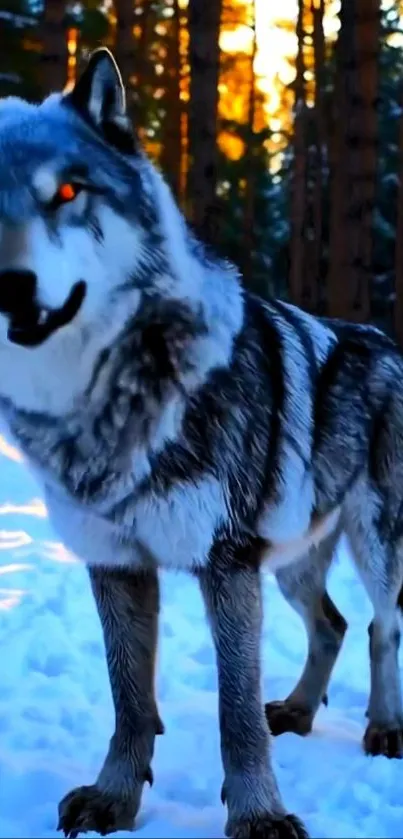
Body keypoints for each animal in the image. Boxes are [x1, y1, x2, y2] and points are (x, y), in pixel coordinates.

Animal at [0, 46, 403, 839]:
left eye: (68, 192)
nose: (9, 286)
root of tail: (385, 340)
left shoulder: (227, 564)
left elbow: (234, 712)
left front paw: (259, 817)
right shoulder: (116, 562)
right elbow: (130, 701)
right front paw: (113, 799)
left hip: (370, 543)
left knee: (382, 624)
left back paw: (384, 728)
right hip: (291, 561)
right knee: (333, 624)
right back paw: (298, 711)